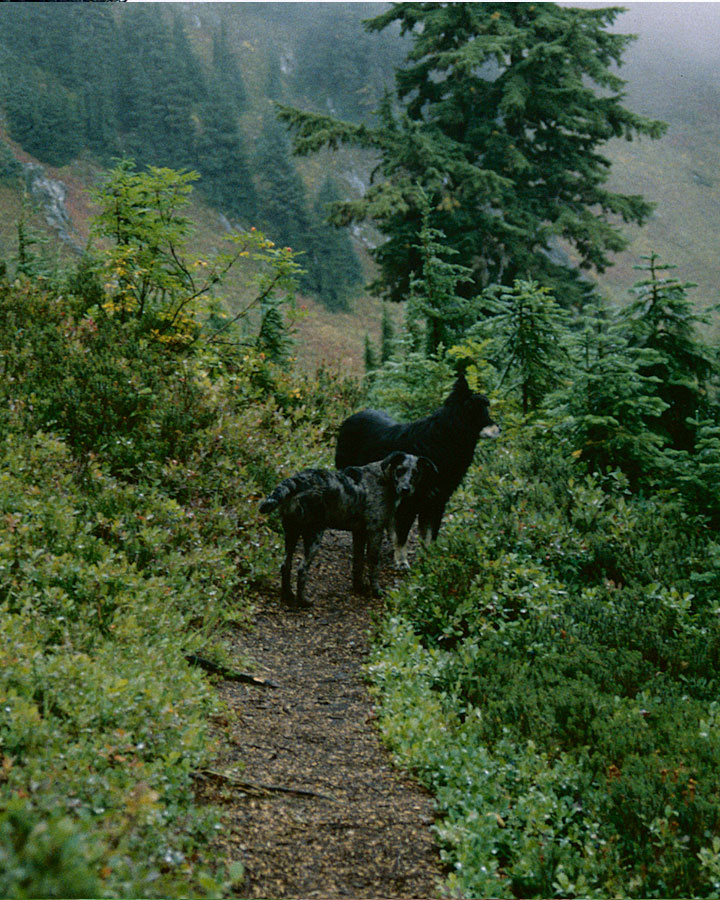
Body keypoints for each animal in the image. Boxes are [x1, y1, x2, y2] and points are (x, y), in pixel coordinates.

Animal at [262, 454, 436, 608]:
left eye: (415, 473)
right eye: (400, 470)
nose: (406, 489)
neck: (384, 478)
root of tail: (296, 480)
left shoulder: (359, 533)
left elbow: (358, 563)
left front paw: (360, 587)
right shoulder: (375, 532)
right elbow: (373, 564)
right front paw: (376, 591)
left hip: (291, 533)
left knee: (286, 565)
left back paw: (288, 596)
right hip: (314, 535)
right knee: (301, 570)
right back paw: (304, 601)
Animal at [334, 370, 498, 568]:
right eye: (482, 413)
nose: (499, 429)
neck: (444, 440)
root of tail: (351, 417)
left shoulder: (436, 500)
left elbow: (430, 535)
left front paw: (430, 558)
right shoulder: (410, 500)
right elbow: (403, 535)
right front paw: (401, 560)